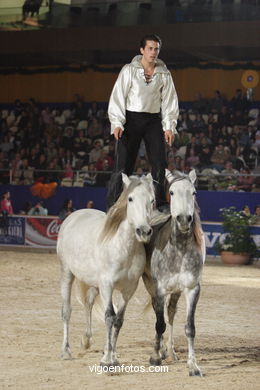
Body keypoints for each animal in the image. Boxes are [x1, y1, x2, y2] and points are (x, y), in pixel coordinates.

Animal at [57, 173, 154, 366]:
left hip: (94, 284)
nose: (144, 231)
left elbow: (118, 320)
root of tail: (74, 215)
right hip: (67, 274)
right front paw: (106, 360)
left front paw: (113, 355)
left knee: (88, 304)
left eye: (152, 200)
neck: (123, 248)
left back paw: (86, 340)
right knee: (67, 311)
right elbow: (109, 316)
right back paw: (65, 351)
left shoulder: (128, 290)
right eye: (130, 198)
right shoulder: (107, 286)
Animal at [142, 169, 205, 376]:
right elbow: (159, 323)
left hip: (176, 291)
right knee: (158, 313)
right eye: (172, 192)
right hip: (150, 285)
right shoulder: (160, 289)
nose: (184, 219)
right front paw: (154, 357)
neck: (179, 249)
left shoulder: (192, 289)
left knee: (169, 313)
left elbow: (189, 327)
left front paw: (193, 365)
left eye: (194, 192)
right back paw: (160, 351)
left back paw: (169, 352)